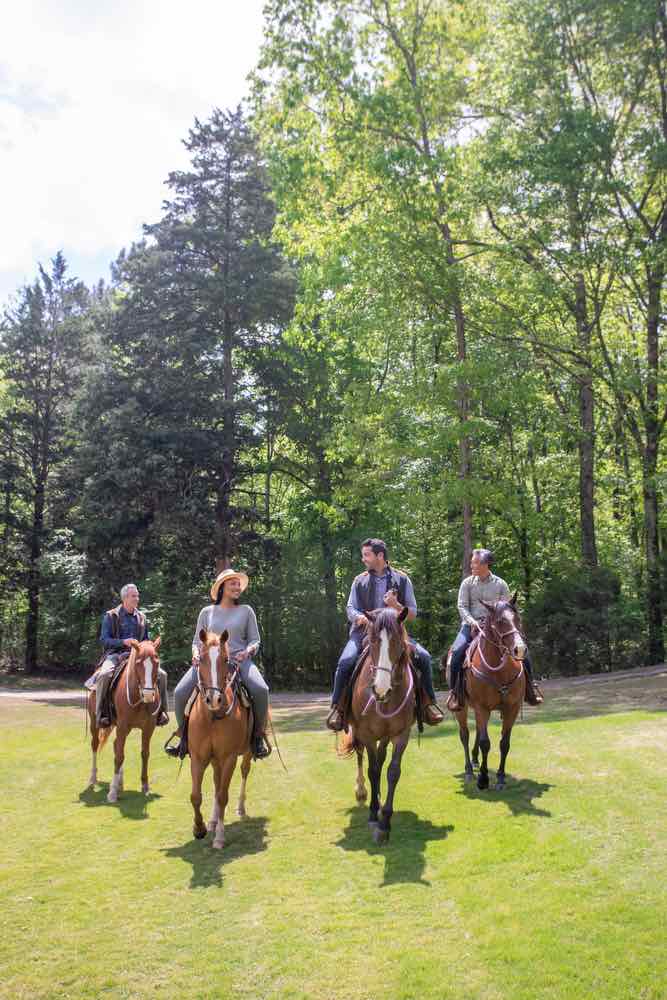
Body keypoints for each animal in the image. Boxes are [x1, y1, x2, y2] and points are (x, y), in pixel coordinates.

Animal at [87, 640, 164, 804]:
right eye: (138, 663)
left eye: (157, 662)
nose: (149, 695)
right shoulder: (122, 727)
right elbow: (120, 756)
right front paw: (112, 793)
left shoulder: (148, 728)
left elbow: (144, 754)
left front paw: (145, 786)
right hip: (95, 723)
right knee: (95, 745)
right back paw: (93, 779)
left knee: (116, 745)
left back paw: (119, 782)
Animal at [189, 628, 254, 848]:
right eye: (201, 659)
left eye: (226, 659)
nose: (214, 699)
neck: (212, 718)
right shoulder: (198, 757)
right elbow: (196, 796)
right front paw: (199, 828)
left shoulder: (229, 758)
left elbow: (223, 795)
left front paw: (219, 837)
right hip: (215, 760)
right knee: (217, 784)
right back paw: (212, 820)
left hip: (247, 752)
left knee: (244, 772)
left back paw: (240, 808)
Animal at [344, 608, 418, 844]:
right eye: (373, 641)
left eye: (397, 641)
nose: (380, 689)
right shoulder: (366, 734)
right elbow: (373, 770)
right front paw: (373, 815)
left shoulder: (402, 734)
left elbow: (392, 771)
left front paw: (385, 821)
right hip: (357, 731)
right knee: (361, 757)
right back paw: (362, 792)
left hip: (385, 736)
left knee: (380, 755)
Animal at [452, 596, 528, 792]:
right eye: (500, 621)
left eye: (518, 618)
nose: (520, 649)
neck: (499, 671)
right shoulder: (481, 707)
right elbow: (485, 743)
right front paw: (483, 779)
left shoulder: (511, 708)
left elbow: (504, 743)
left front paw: (500, 777)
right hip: (462, 708)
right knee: (465, 735)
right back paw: (469, 770)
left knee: (478, 731)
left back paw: (475, 760)